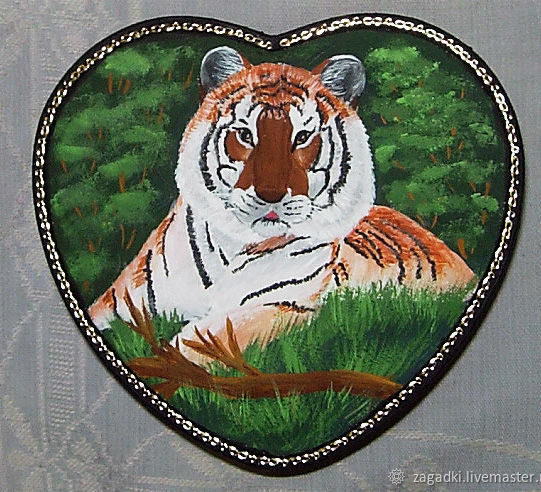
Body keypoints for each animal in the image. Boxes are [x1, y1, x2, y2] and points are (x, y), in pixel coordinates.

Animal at [89, 46, 475, 359]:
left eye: (302, 137)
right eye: (245, 134)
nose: (270, 195)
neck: (232, 249)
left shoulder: (276, 305)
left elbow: (196, 345)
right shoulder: (120, 303)